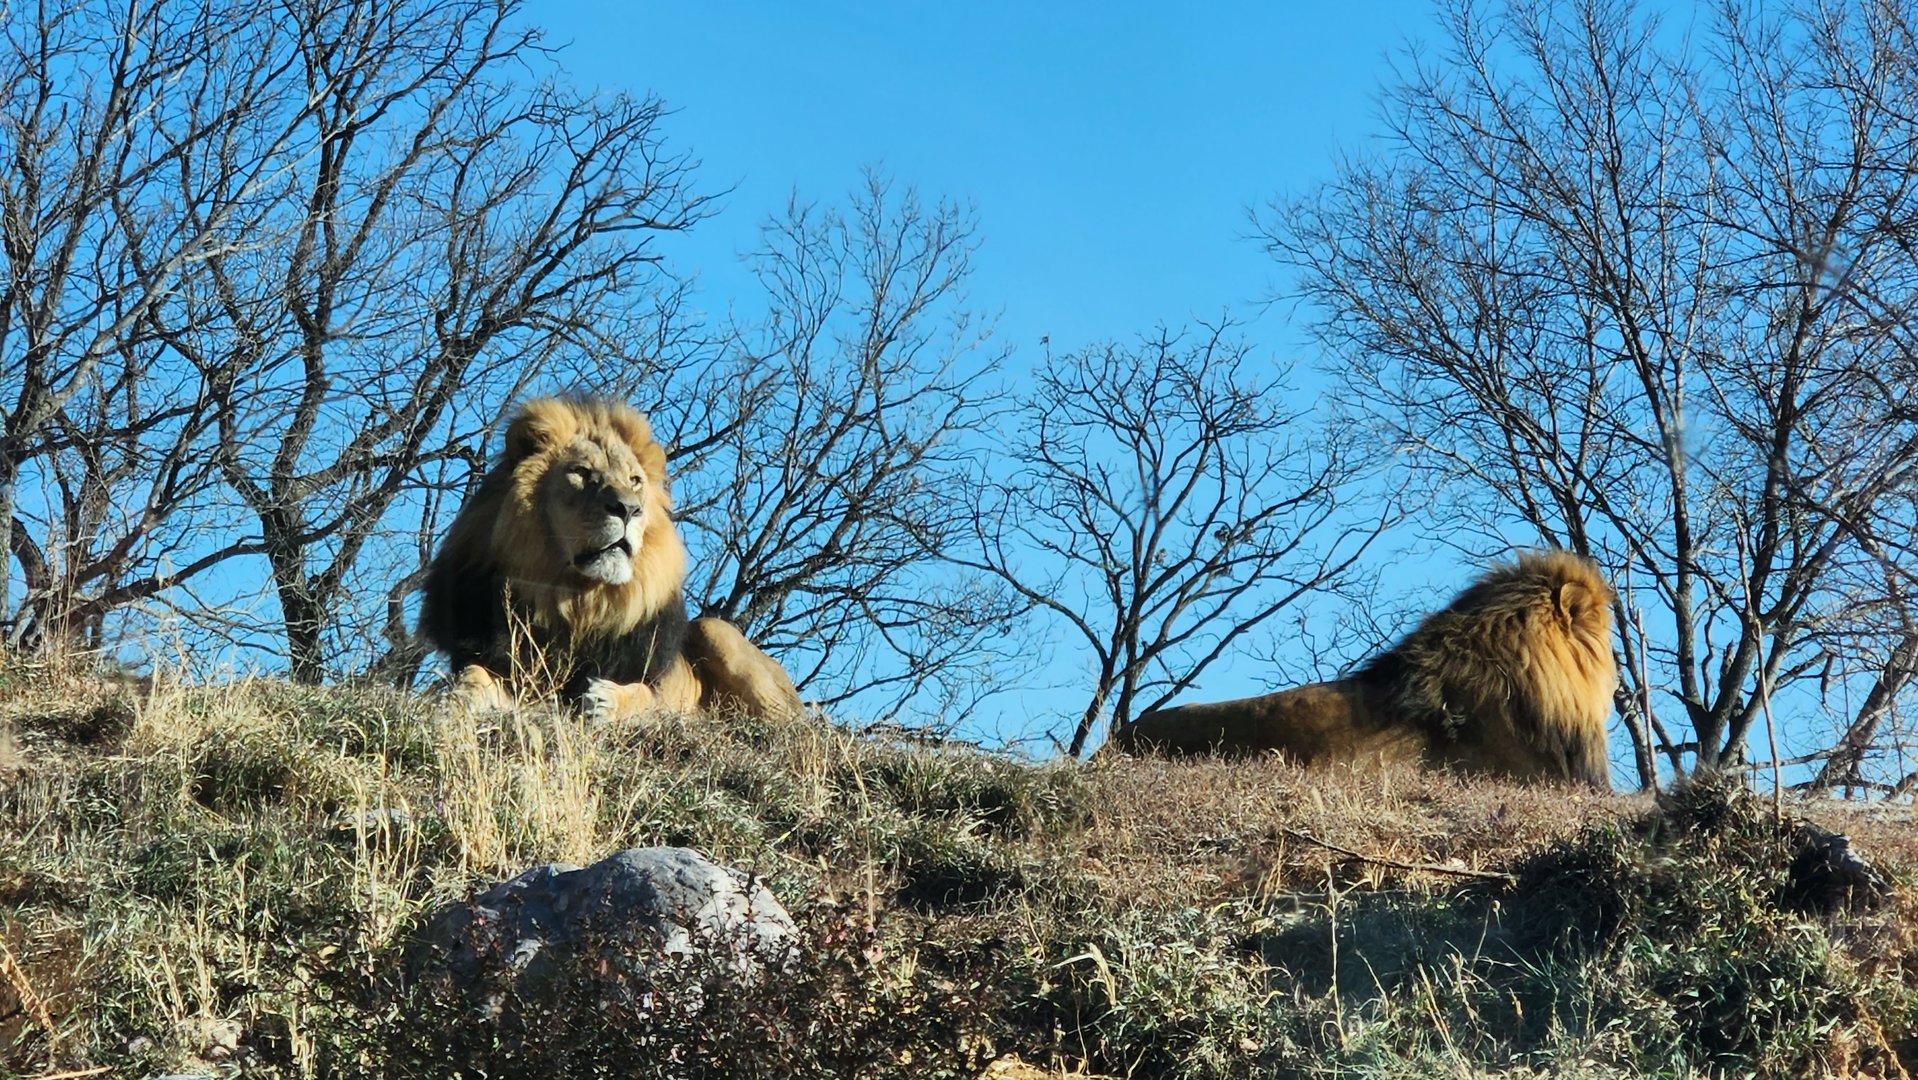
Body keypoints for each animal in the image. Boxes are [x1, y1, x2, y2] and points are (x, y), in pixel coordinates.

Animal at [418, 395, 801, 722]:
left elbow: (645, 697)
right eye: (582, 472)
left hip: (715, 631)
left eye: (635, 481)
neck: (577, 600)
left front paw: (606, 701)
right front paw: (456, 696)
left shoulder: (659, 687)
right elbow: (477, 674)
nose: (629, 509)